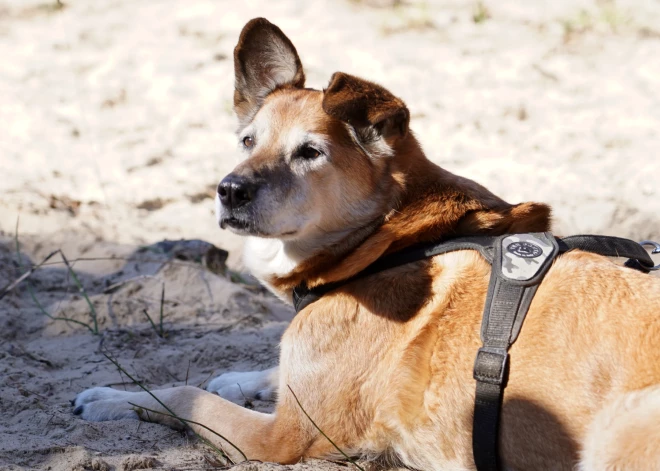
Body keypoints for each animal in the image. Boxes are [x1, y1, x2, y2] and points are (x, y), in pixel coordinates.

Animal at [73, 16, 660, 470]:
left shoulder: (281, 437)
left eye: (309, 152)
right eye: (247, 141)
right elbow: (261, 372)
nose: (230, 190)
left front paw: (112, 398)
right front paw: (237, 378)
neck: (385, 241)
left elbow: (183, 395)